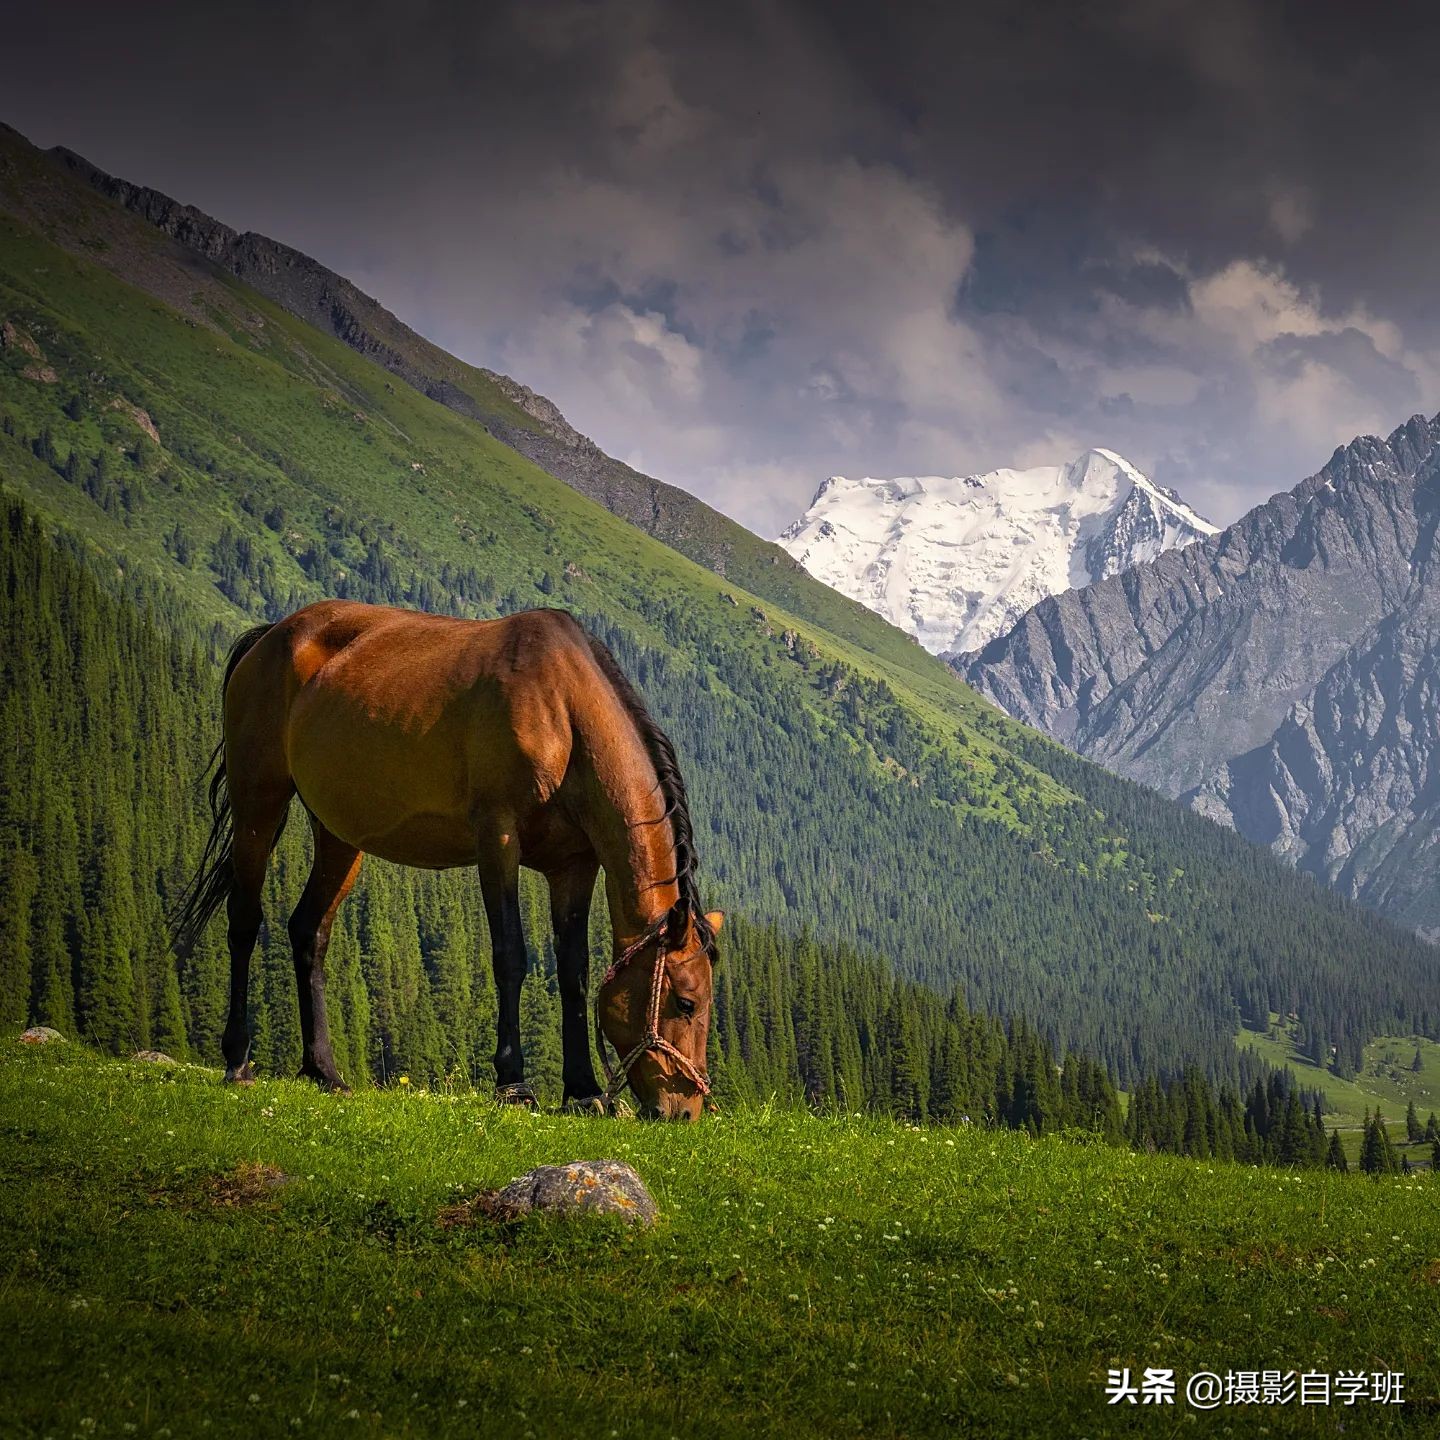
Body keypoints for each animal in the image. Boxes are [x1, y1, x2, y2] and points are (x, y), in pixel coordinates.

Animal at [171, 601, 720, 1117]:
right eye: (685, 1002)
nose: (685, 1111)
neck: (562, 712)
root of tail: (271, 637)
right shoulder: (497, 838)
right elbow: (510, 956)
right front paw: (513, 1083)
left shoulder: (574, 866)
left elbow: (574, 973)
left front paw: (583, 1091)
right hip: (257, 803)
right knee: (244, 921)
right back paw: (238, 1061)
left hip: (338, 834)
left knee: (309, 932)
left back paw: (323, 1071)